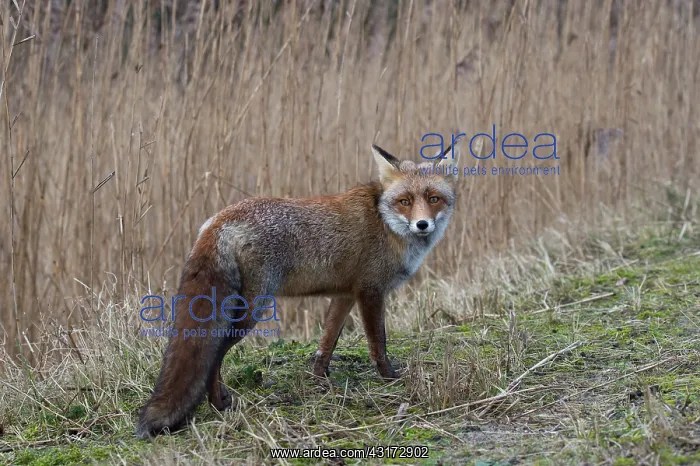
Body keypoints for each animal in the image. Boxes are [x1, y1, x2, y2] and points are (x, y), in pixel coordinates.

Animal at [135, 138, 475, 438]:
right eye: (405, 201)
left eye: (433, 199)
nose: (422, 225)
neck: (385, 222)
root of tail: (220, 219)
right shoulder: (371, 291)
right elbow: (378, 343)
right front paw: (390, 378)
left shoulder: (345, 295)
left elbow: (327, 342)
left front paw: (320, 380)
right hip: (252, 310)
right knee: (214, 354)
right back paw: (218, 404)